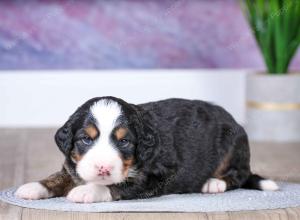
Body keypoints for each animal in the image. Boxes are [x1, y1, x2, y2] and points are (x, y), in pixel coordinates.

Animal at [14, 96, 278, 203]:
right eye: (86, 139)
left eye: (124, 142)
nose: (103, 168)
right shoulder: (73, 165)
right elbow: (60, 176)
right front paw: (34, 187)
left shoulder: (157, 175)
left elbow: (118, 185)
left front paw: (88, 191)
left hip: (234, 144)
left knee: (238, 175)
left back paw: (214, 183)